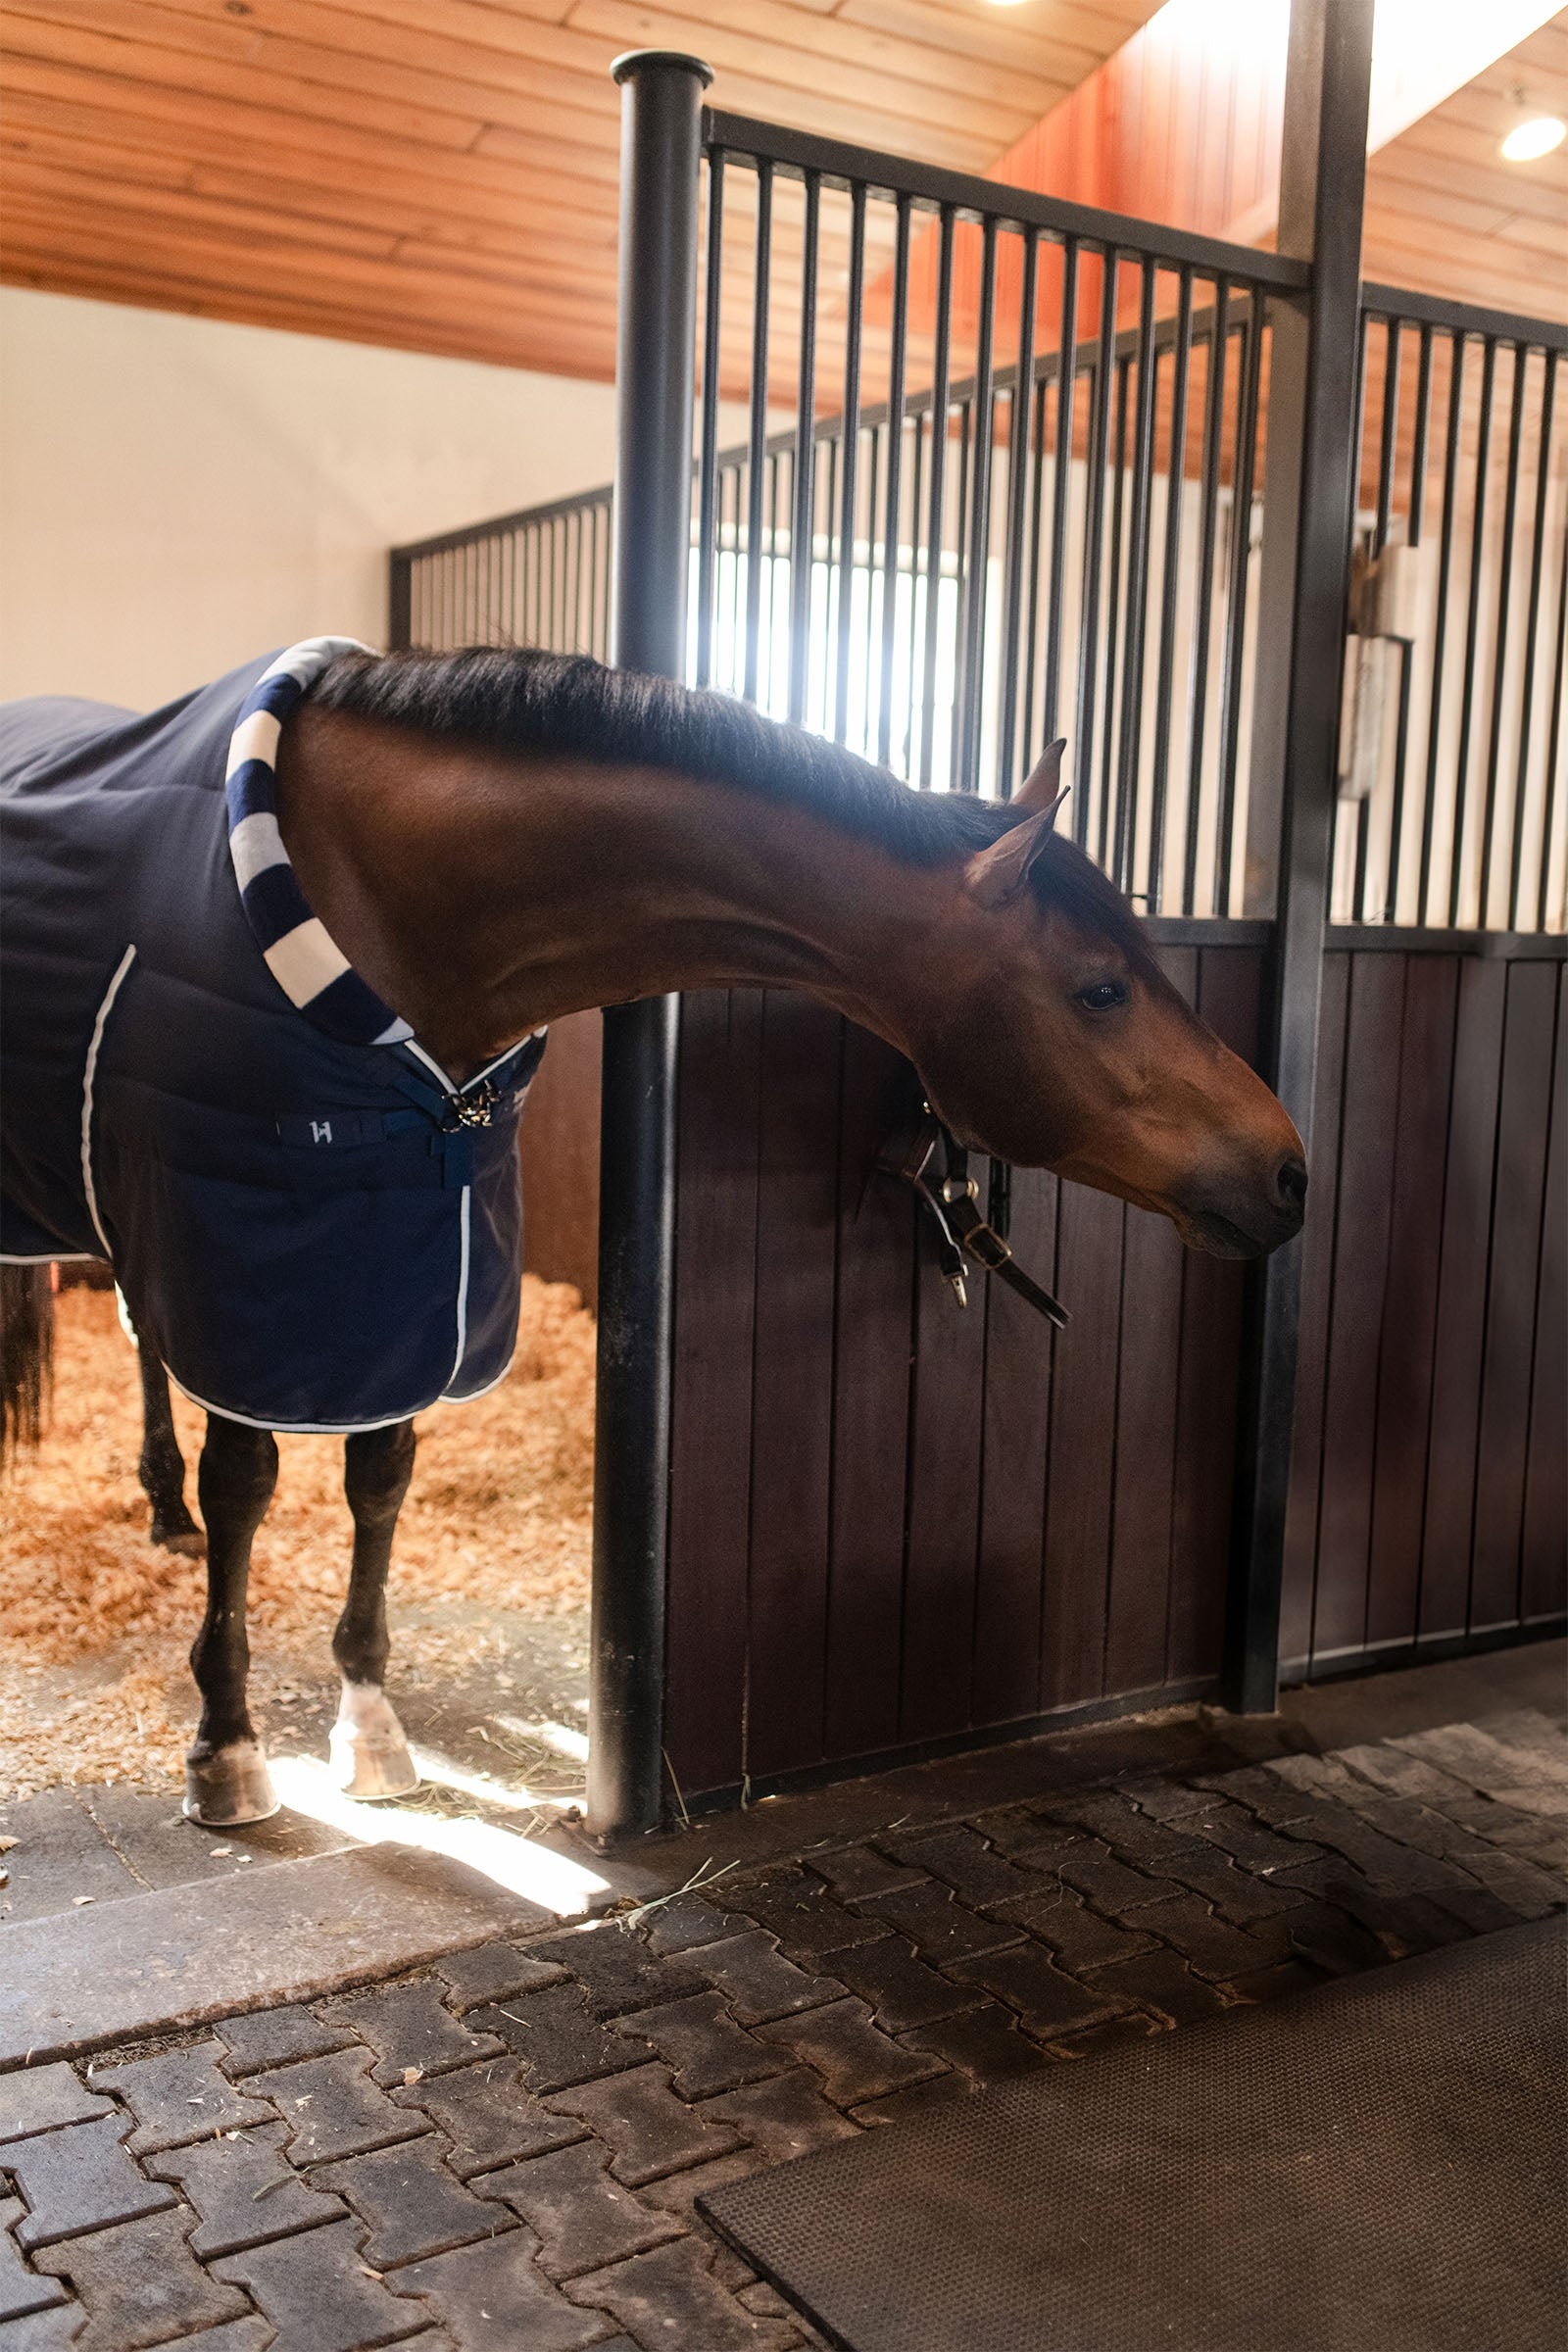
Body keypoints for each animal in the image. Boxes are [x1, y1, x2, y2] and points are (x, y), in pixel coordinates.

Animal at [1, 637, 1306, 1831]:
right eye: (1100, 989)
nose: (1289, 1172)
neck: (376, 894)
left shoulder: (421, 1246)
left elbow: (378, 1477)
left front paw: (369, 1726)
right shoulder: (247, 1247)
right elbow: (252, 1485)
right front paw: (226, 1748)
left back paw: (160, 1512)